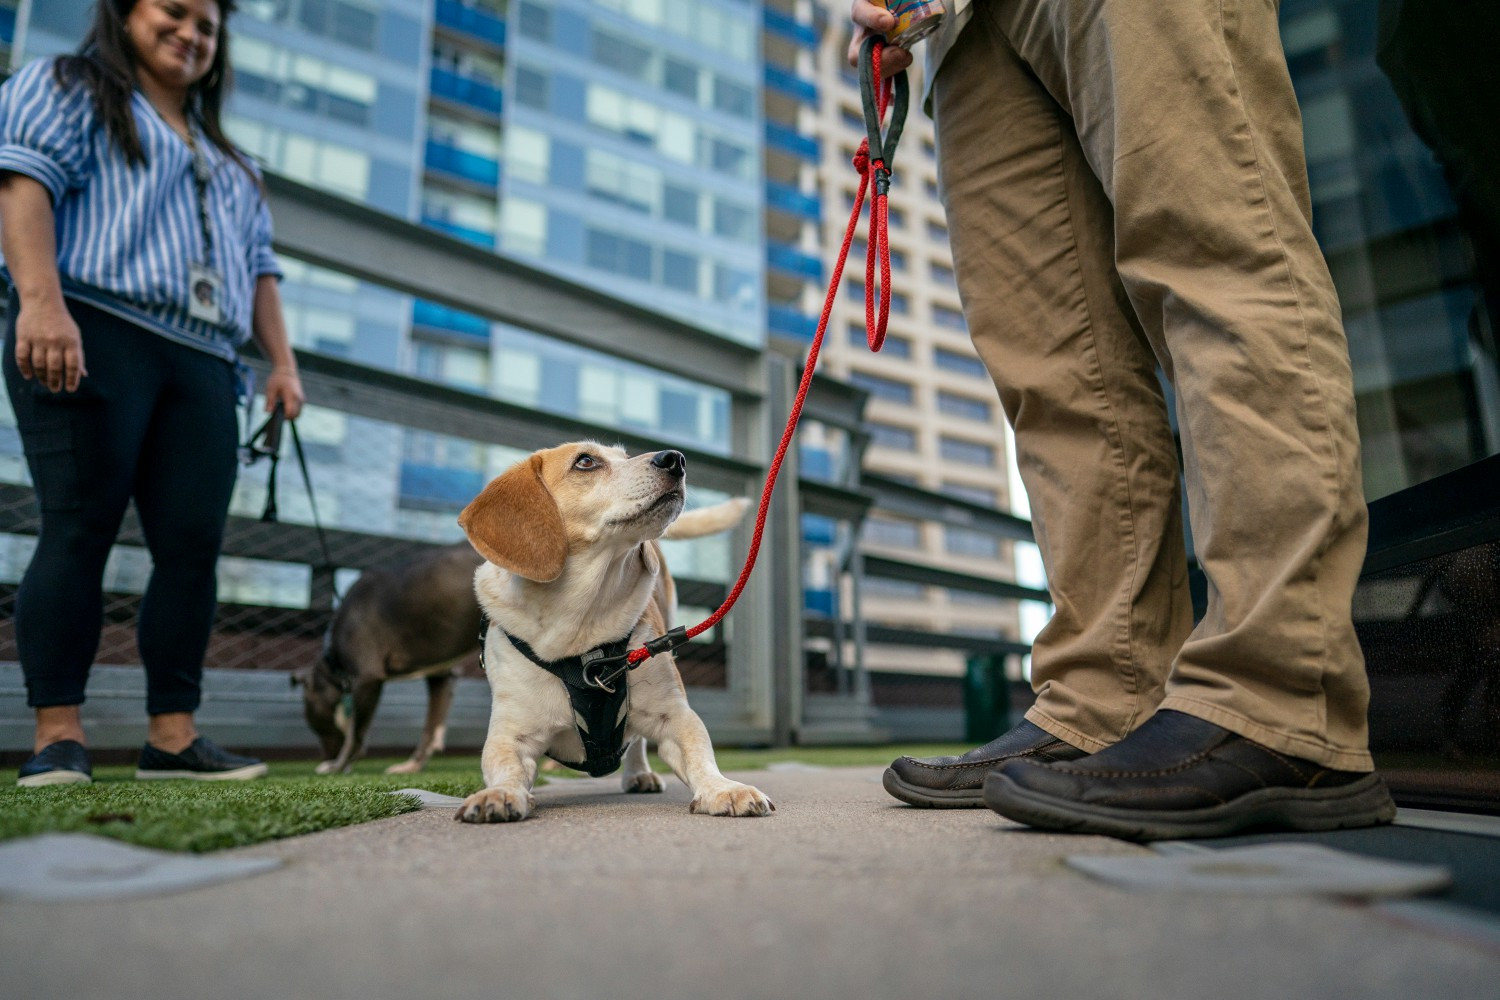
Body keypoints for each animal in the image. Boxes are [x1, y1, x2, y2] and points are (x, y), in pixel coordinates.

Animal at [453, 440, 774, 827]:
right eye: (585, 462)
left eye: (625, 456)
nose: (675, 459)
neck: (580, 622)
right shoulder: (510, 735)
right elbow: (505, 768)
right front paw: (499, 794)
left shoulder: (675, 713)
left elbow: (700, 756)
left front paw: (723, 788)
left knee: (636, 743)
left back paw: (639, 774)